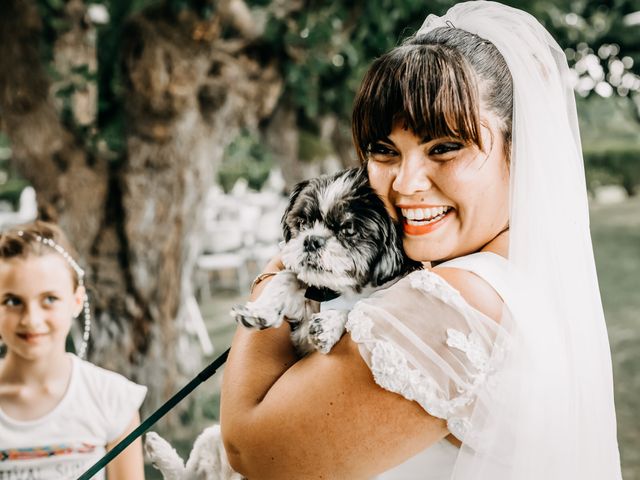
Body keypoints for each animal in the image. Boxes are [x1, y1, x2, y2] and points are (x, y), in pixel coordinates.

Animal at [230, 167, 420, 354]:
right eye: (302, 223)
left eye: (348, 230)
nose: (311, 241)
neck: (336, 292)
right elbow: (287, 277)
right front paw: (259, 310)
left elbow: (356, 309)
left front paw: (328, 323)